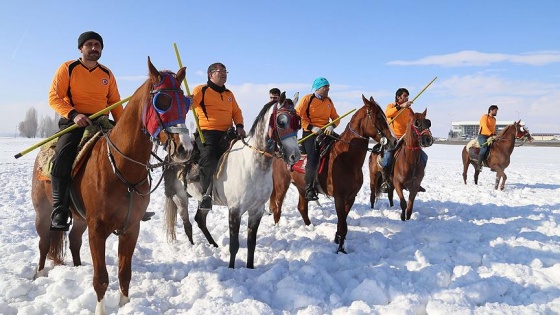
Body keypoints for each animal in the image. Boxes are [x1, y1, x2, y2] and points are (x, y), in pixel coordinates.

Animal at [33, 58, 195, 314]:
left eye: (186, 104)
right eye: (163, 101)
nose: (185, 149)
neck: (121, 167)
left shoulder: (130, 228)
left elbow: (124, 273)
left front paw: (125, 305)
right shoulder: (98, 230)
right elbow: (101, 278)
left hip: (80, 219)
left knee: (75, 241)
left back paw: (77, 268)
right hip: (43, 212)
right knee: (44, 243)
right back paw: (38, 275)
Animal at [163, 92, 302, 270]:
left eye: (297, 121)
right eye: (281, 121)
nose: (295, 156)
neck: (252, 163)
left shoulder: (257, 210)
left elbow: (251, 243)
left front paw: (250, 268)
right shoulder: (235, 210)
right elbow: (234, 245)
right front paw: (231, 268)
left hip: (202, 201)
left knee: (200, 220)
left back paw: (213, 245)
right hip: (179, 198)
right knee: (187, 224)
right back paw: (194, 247)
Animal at [268, 95, 396, 253]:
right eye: (378, 116)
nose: (394, 141)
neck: (346, 157)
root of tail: (278, 151)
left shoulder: (351, 197)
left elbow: (343, 222)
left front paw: (338, 239)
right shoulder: (339, 197)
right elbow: (342, 224)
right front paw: (340, 248)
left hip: (302, 187)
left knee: (302, 208)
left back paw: (310, 227)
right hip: (281, 185)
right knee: (277, 207)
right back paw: (277, 226)